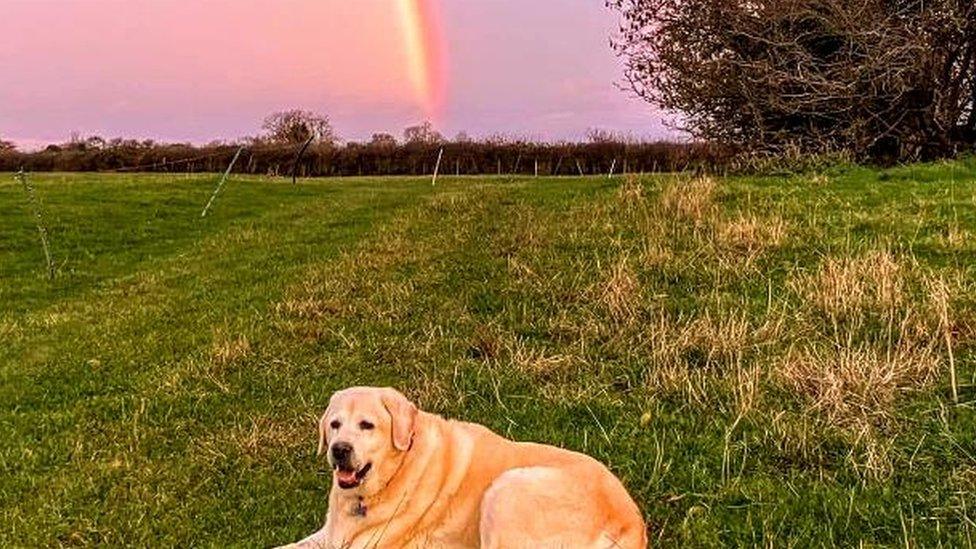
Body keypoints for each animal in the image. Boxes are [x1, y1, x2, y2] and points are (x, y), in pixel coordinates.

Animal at [274, 386, 644, 548]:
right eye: (334, 425)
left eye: (367, 425)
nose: (339, 450)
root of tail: (632, 525)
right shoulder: (329, 536)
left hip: (506, 489)